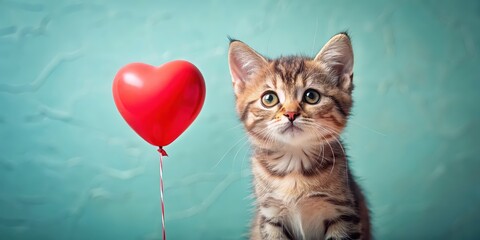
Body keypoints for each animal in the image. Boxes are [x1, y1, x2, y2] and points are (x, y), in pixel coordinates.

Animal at [228, 32, 372, 240]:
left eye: (312, 96)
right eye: (269, 98)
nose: (291, 114)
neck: (294, 166)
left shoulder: (343, 214)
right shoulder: (270, 216)